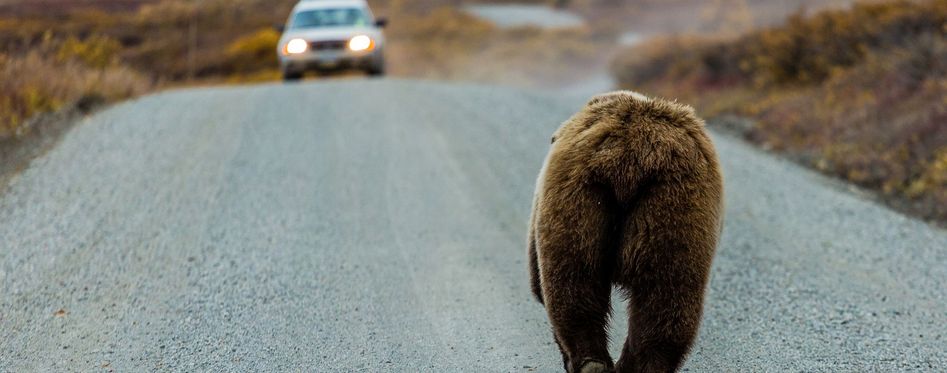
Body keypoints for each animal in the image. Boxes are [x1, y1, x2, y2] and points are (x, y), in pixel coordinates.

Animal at [528, 91, 724, 372]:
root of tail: (630, 158)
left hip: (577, 196)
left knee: (572, 282)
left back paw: (590, 361)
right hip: (675, 206)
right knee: (668, 294)